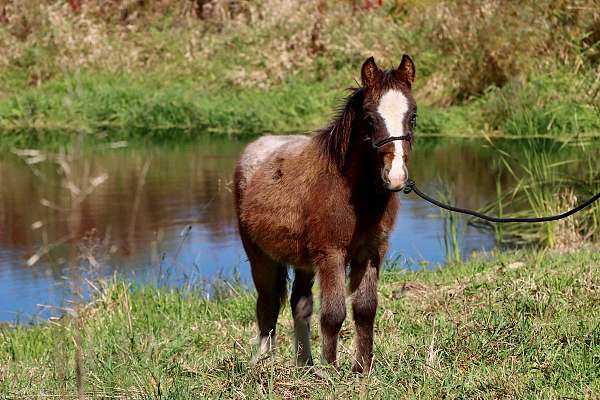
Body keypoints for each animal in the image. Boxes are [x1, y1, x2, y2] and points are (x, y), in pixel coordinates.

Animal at [234, 55, 418, 372]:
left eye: (413, 116)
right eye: (369, 118)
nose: (395, 176)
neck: (354, 195)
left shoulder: (372, 251)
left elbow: (365, 309)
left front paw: (362, 368)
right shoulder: (331, 253)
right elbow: (333, 314)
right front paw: (331, 369)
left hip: (303, 262)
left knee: (299, 303)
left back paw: (304, 363)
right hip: (260, 255)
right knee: (268, 302)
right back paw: (264, 361)